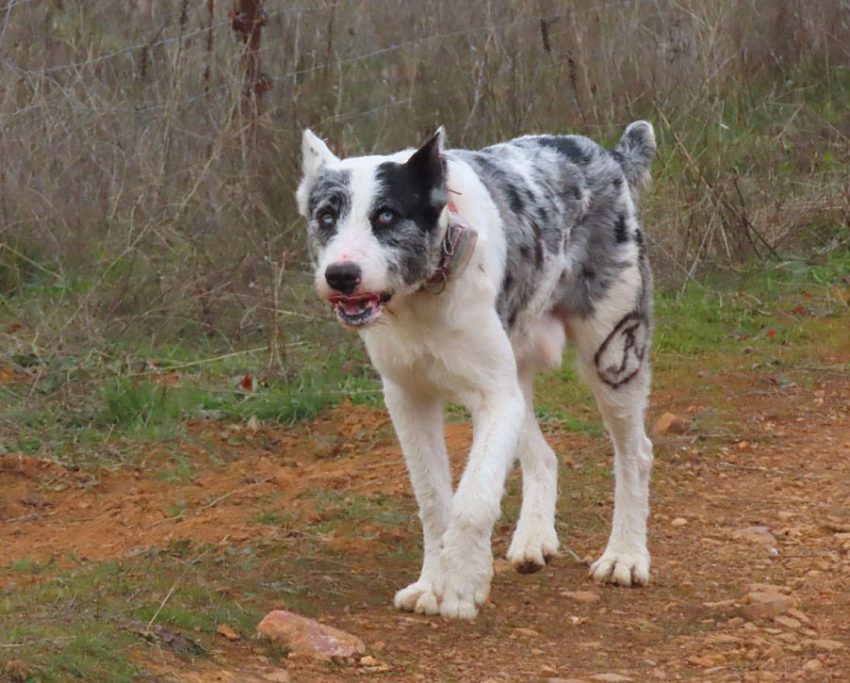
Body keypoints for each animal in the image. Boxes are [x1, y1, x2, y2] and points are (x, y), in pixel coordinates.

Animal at [298, 123, 656, 620]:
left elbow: (472, 500)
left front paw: (463, 586)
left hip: (612, 355)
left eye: (386, 215)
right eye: (327, 216)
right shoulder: (409, 400)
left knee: (635, 454)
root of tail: (609, 157)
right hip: (518, 373)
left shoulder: (494, 399)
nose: (341, 274)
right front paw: (433, 583)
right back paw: (534, 539)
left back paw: (625, 556)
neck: (425, 293)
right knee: (544, 455)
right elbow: (433, 500)